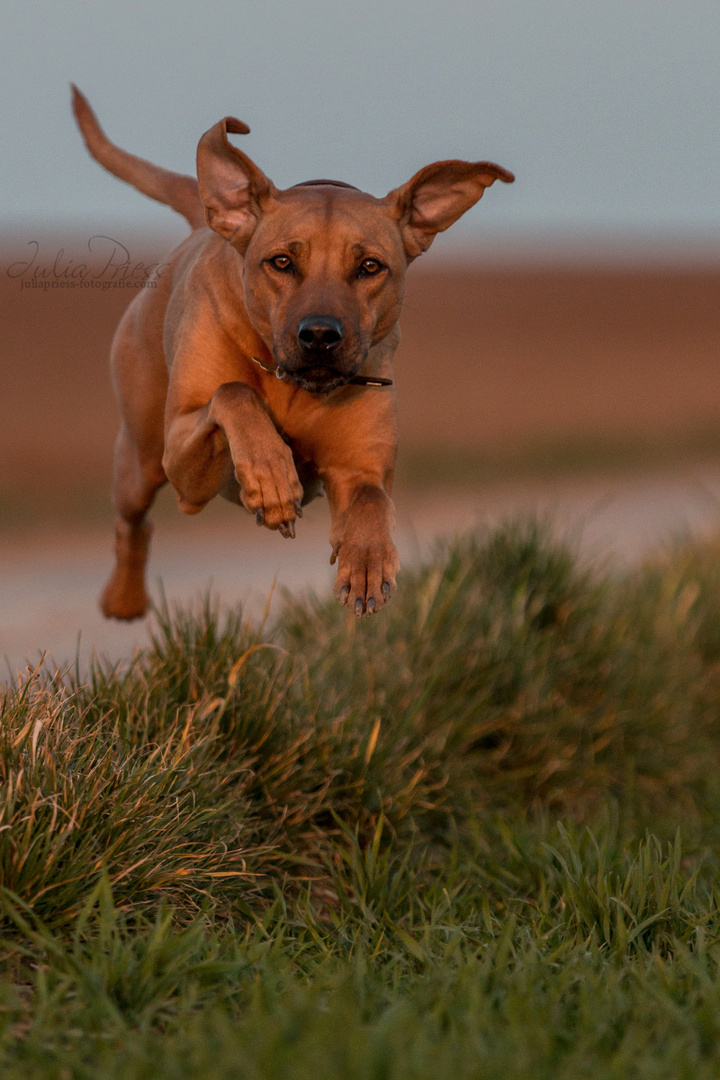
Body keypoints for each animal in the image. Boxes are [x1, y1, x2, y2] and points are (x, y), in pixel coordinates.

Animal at [70, 87, 515, 622]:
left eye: (370, 266)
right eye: (282, 261)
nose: (320, 335)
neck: (292, 387)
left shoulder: (358, 467)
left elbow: (370, 500)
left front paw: (367, 561)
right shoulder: (183, 463)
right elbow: (233, 392)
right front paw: (272, 480)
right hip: (141, 456)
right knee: (132, 520)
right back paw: (124, 598)